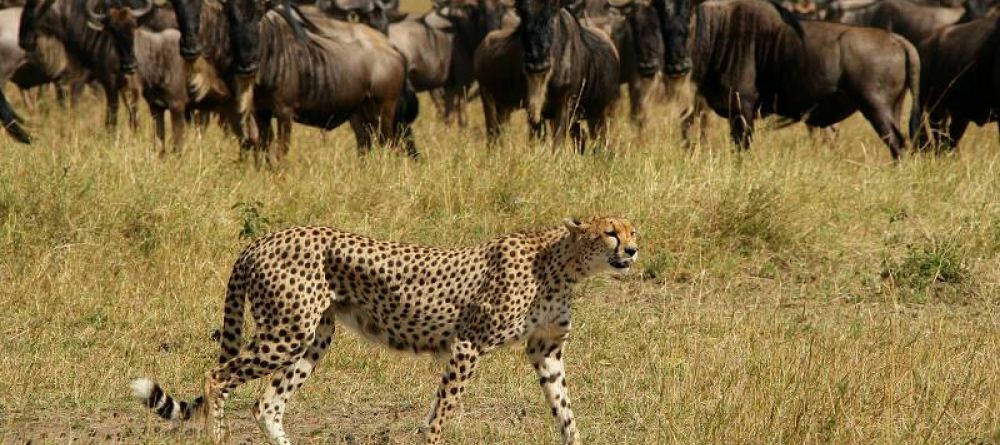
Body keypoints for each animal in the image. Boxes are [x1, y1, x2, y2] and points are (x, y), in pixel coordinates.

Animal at [131, 216, 640, 444]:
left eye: (633, 230)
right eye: (611, 232)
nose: (633, 250)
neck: (562, 264)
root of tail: (262, 239)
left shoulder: (546, 351)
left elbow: (564, 411)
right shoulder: (467, 344)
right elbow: (443, 412)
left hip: (313, 337)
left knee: (266, 403)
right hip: (287, 331)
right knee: (218, 378)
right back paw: (216, 434)